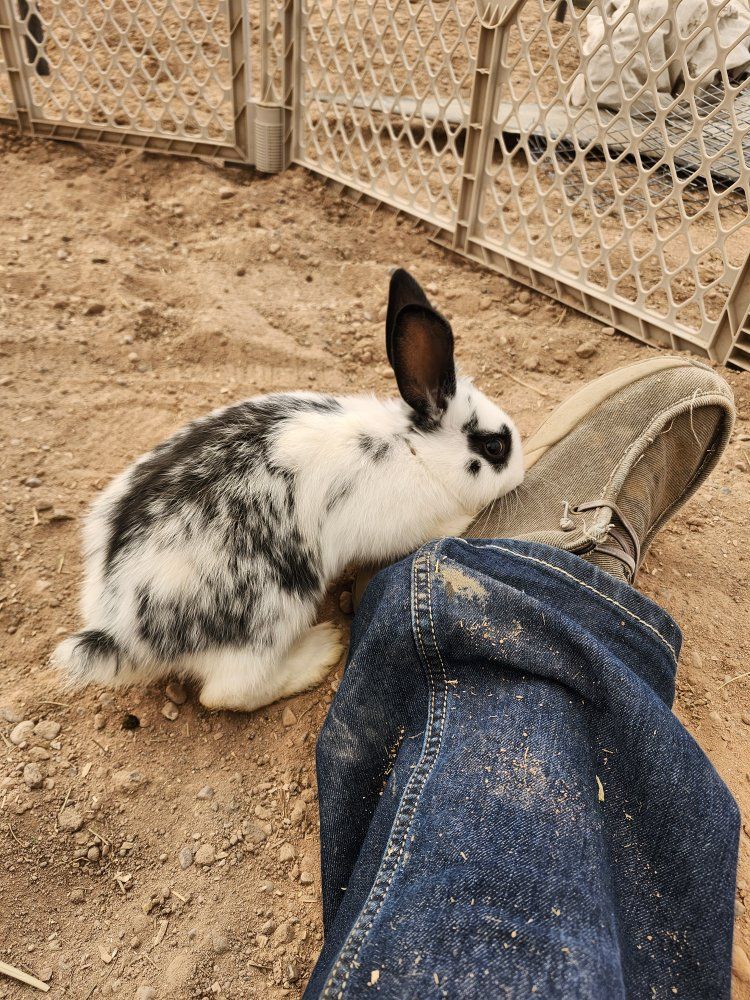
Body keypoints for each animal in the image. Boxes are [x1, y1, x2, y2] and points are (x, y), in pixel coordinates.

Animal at [52, 269, 524, 712]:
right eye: (495, 446)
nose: (520, 473)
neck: (412, 449)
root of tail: (118, 631)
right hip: (271, 613)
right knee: (229, 692)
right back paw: (321, 649)